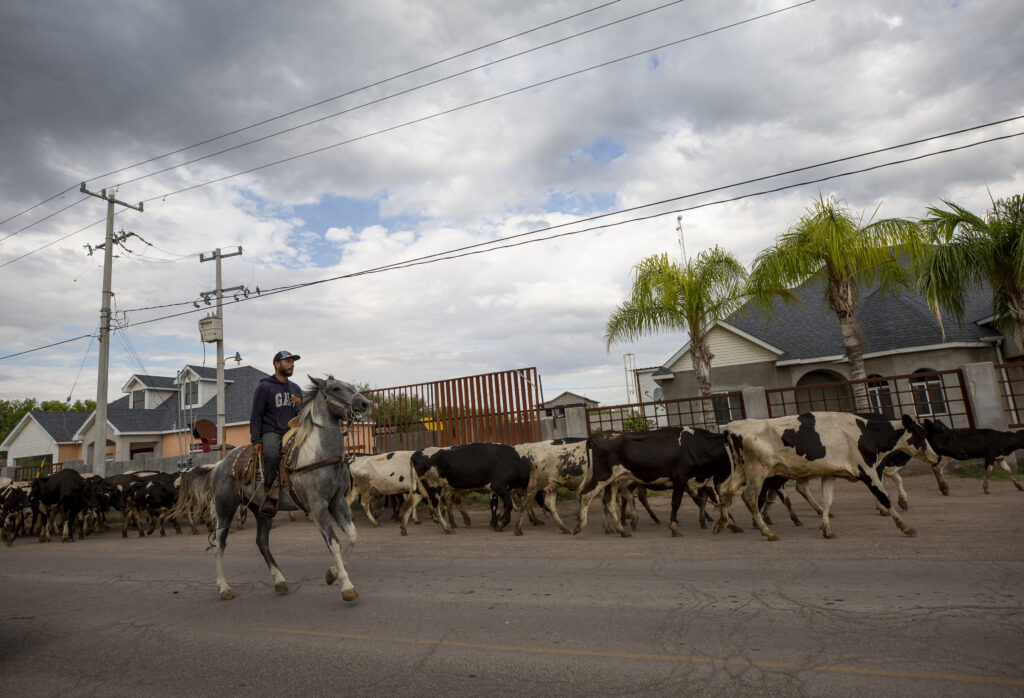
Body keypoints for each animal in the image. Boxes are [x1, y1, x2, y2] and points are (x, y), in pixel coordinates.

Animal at [209, 374, 370, 597]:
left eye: (351, 386)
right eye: (336, 388)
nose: (365, 403)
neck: (319, 454)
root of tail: (220, 464)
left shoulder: (337, 502)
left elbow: (352, 536)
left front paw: (331, 574)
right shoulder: (318, 507)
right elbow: (334, 543)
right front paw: (346, 585)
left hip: (263, 511)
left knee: (262, 542)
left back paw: (279, 580)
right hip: (225, 509)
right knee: (219, 544)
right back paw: (224, 587)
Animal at [716, 413, 962, 536]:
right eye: (920, 434)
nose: (936, 457)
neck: (865, 432)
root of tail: (731, 427)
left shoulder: (830, 473)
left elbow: (827, 500)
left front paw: (826, 527)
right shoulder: (867, 470)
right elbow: (884, 497)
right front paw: (904, 525)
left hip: (741, 471)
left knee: (724, 490)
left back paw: (725, 523)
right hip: (758, 472)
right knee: (749, 497)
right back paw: (766, 531)